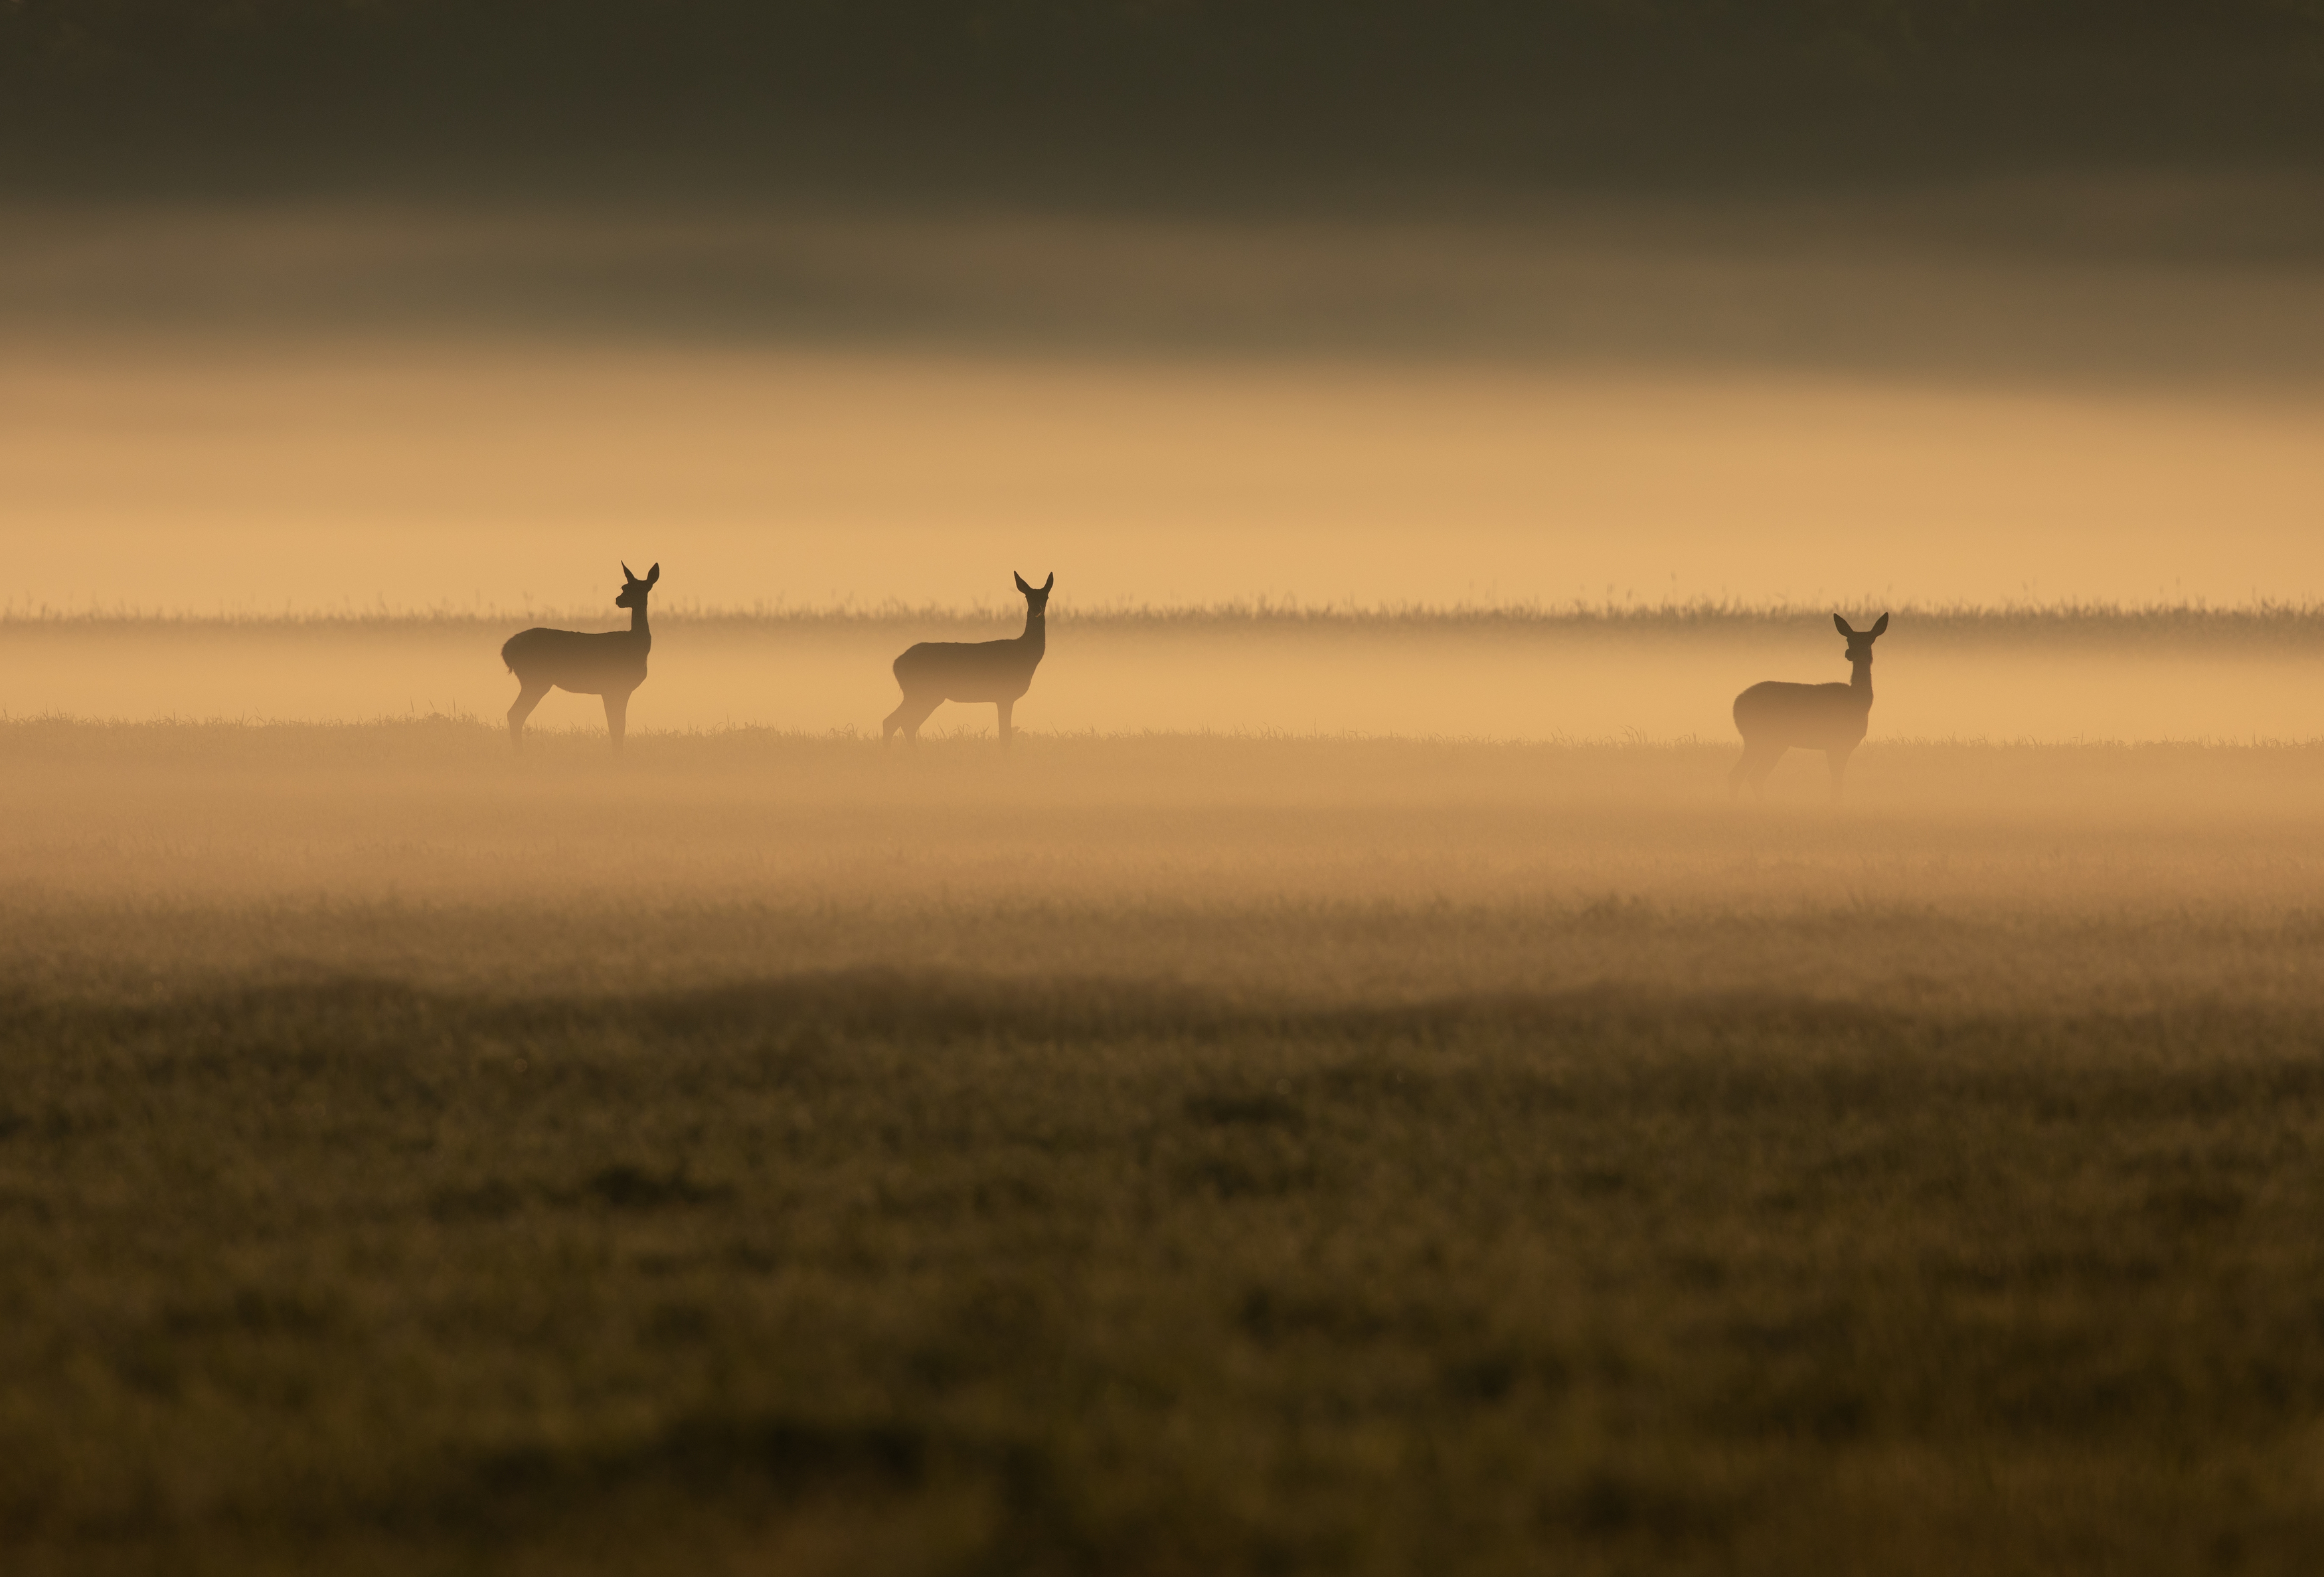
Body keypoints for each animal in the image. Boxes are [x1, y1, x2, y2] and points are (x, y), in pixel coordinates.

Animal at [499, 562, 660, 752]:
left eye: (642, 588)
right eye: (625, 587)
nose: (619, 600)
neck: (636, 647)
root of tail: (507, 650)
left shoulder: (621, 689)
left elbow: (619, 726)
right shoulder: (611, 687)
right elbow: (616, 727)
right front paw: (618, 756)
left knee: (515, 714)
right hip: (535, 679)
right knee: (515, 714)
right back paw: (520, 753)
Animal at [883, 573, 1060, 752]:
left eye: (1046, 596)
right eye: (1027, 596)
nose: (1037, 609)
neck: (1025, 654)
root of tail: (896, 664)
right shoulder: (1004, 695)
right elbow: (1005, 736)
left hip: (924, 695)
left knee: (904, 723)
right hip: (922, 692)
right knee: (895, 722)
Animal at [1729, 608, 1887, 803]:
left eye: (1869, 640)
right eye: (1848, 639)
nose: (1849, 653)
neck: (1858, 702)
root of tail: (1736, 706)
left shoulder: (1845, 745)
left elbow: (1837, 782)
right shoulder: (1834, 743)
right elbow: (1836, 782)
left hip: (1771, 742)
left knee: (1751, 776)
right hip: (1760, 738)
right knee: (1741, 774)